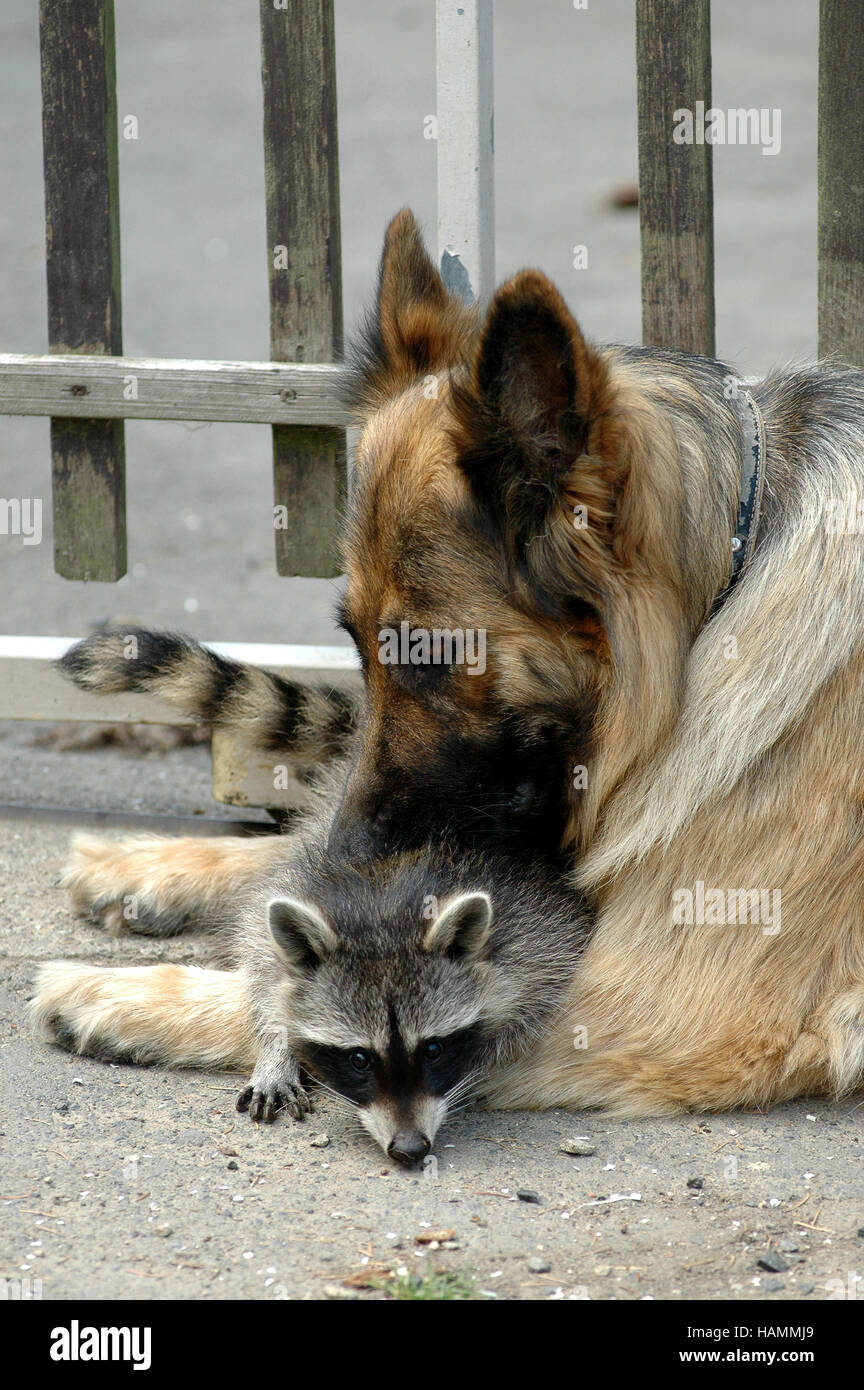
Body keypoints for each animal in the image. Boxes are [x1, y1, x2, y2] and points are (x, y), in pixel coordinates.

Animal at [30, 205, 864, 1117]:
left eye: (428, 658)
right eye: (356, 644)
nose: (350, 862)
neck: (722, 596)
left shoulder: (665, 1000)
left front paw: (118, 991)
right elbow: (291, 872)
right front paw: (154, 865)